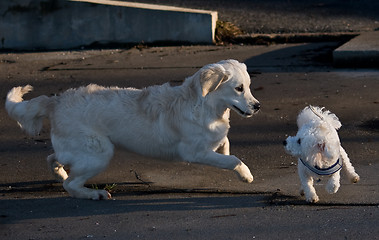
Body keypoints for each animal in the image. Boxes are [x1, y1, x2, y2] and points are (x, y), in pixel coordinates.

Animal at [5, 59, 262, 200]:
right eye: (239, 88)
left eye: (249, 87)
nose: (257, 106)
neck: (205, 104)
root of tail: (55, 101)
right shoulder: (194, 153)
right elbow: (233, 159)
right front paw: (245, 175)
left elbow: (225, 144)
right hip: (99, 153)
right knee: (71, 185)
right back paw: (94, 193)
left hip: (81, 151)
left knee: (53, 158)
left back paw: (60, 173)